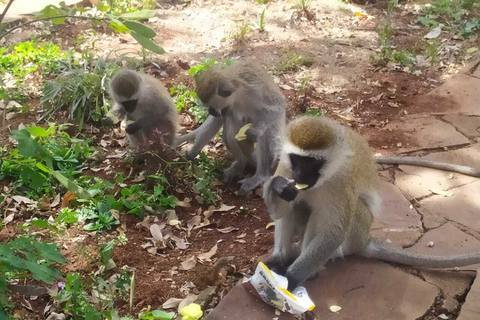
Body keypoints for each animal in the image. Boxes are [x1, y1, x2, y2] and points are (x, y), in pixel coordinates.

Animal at [178, 60, 286, 195]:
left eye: (211, 107)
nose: (211, 112)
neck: (238, 94)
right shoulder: (226, 108)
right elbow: (218, 121)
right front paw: (192, 153)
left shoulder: (255, 87)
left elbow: (278, 106)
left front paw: (255, 131)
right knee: (231, 120)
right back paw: (240, 164)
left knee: (267, 133)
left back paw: (260, 175)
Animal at [262, 115, 480, 290]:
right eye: (297, 160)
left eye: (312, 162)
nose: (299, 175)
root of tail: (365, 240)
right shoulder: (285, 166)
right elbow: (280, 212)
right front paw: (278, 185)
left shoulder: (343, 181)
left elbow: (333, 232)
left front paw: (290, 279)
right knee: (294, 208)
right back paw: (279, 260)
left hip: (357, 231)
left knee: (330, 218)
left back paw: (310, 269)